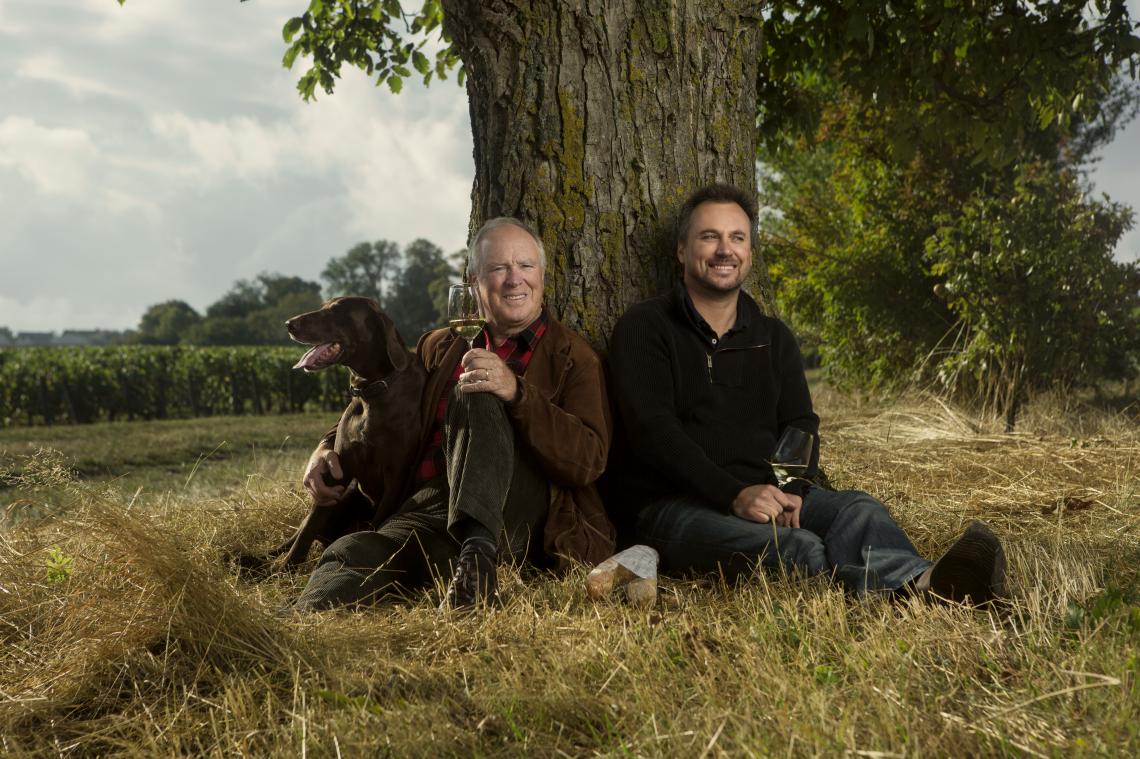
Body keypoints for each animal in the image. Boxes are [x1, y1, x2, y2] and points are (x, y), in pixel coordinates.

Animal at [256, 298, 426, 565]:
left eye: (336, 311)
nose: (289, 324)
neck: (372, 391)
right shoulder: (338, 473)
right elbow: (304, 535)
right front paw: (284, 569)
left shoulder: (396, 478)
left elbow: (377, 523)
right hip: (341, 495)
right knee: (294, 536)